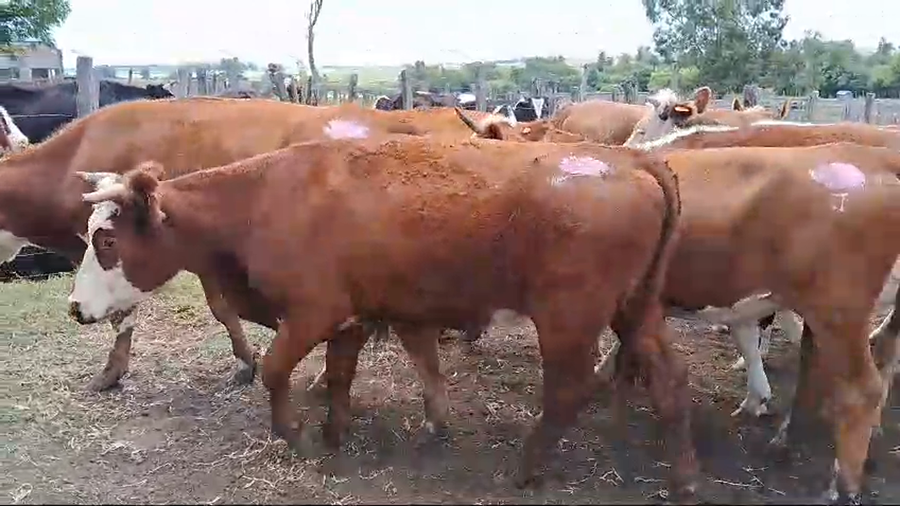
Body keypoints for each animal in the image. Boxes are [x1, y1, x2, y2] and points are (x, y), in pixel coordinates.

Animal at [66, 134, 695, 496]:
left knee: (567, 391)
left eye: (107, 241)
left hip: (568, 319)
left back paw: (527, 468)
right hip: (636, 310)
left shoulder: (313, 312)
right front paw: (335, 432)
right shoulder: (352, 317)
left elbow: (274, 371)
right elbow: (340, 376)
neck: (264, 199)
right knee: (669, 379)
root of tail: (631, 160)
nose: (75, 308)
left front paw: (296, 436)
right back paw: (683, 477)